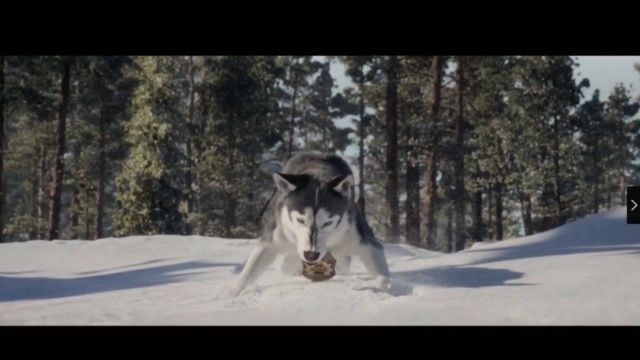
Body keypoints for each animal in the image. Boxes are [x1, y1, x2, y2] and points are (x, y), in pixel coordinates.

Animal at [230, 151, 390, 296]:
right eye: (300, 220)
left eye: (328, 223)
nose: (311, 255)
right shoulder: (276, 234)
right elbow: (251, 269)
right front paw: (231, 293)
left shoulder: (358, 235)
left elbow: (381, 270)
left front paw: (385, 288)